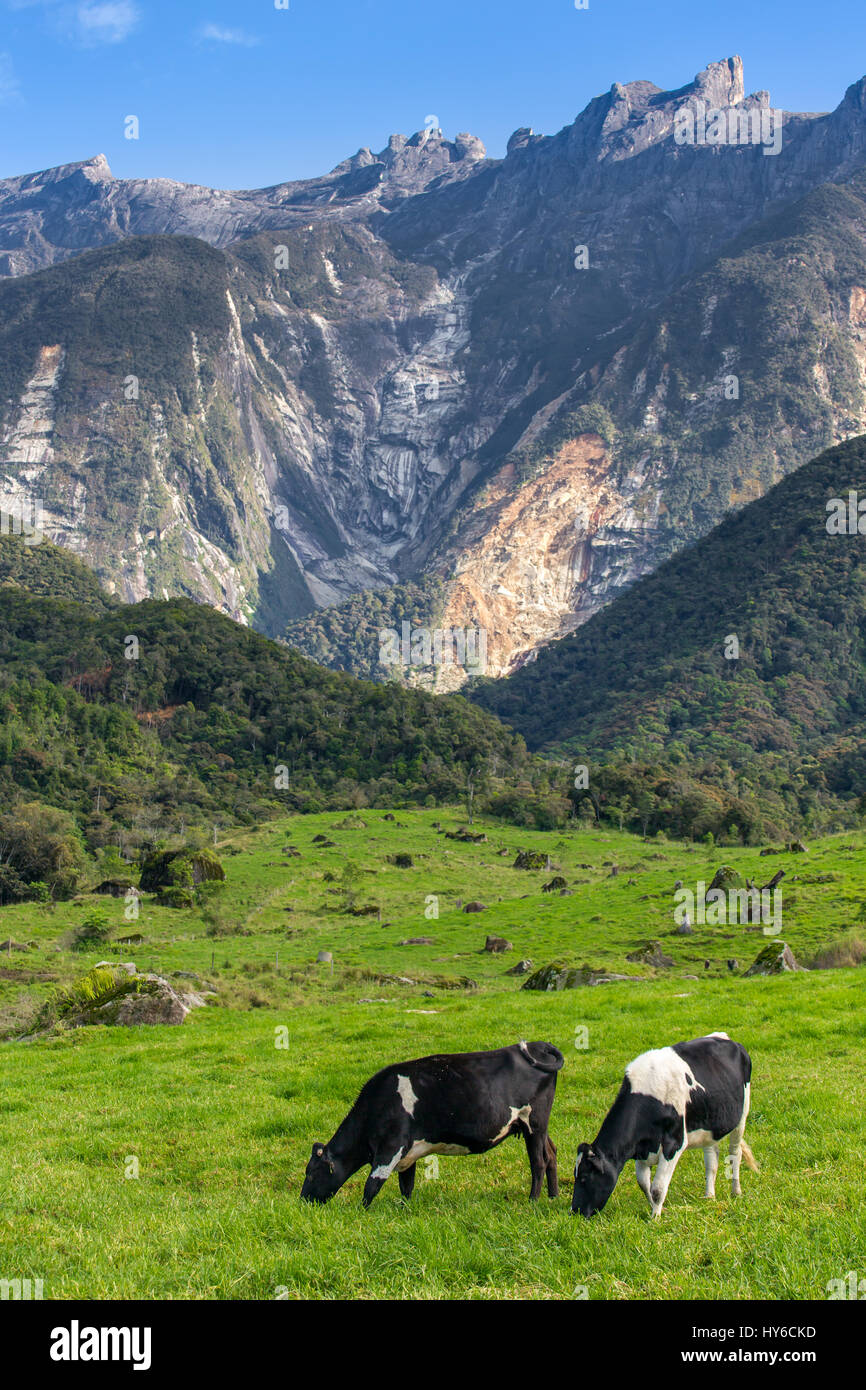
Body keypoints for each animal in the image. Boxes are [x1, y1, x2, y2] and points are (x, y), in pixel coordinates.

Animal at [301, 1045, 567, 1206]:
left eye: (312, 1173)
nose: (303, 1201)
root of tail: (537, 1045)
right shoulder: (408, 1154)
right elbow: (406, 1185)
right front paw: (404, 1210)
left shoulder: (391, 1147)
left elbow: (372, 1185)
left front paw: (362, 1212)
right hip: (537, 1127)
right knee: (551, 1154)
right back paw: (553, 1196)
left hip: (534, 1123)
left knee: (538, 1162)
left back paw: (533, 1200)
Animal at [572, 1034, 756, 1217]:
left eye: (584, 1177)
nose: (575, 1212)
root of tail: (726, 1038)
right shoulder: (641, 1148)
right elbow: (644, 1184)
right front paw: (657, 1209)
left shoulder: (674, 1144)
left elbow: (657, 1189)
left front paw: (655, 1217)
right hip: (709, 1124)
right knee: (711, 1159)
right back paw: (709, 1196)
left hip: (742, 1116)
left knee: (735, 1154)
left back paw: (736, 1191)